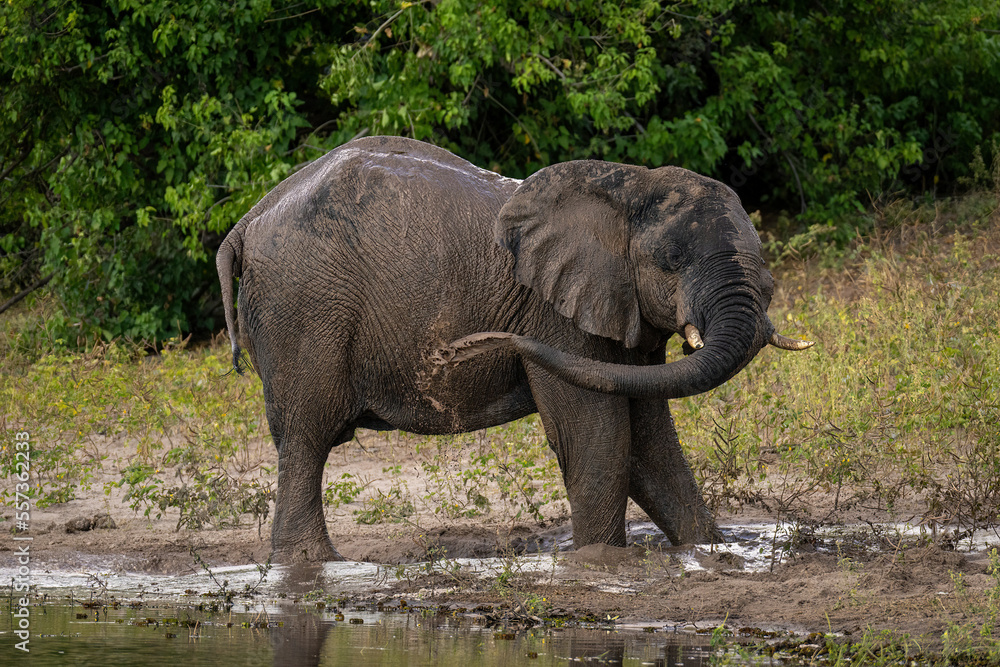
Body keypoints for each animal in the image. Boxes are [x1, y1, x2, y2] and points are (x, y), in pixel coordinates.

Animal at [216, 135, 812, 562]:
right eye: (670, 261)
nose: (457, 349)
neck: (627, 185)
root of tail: (244, 223)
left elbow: (648, 439)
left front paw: (711, 549)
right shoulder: (555, 314)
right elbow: (596, 434)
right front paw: (600, 563)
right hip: (306, 310)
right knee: (306, 438)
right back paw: (316, 565)